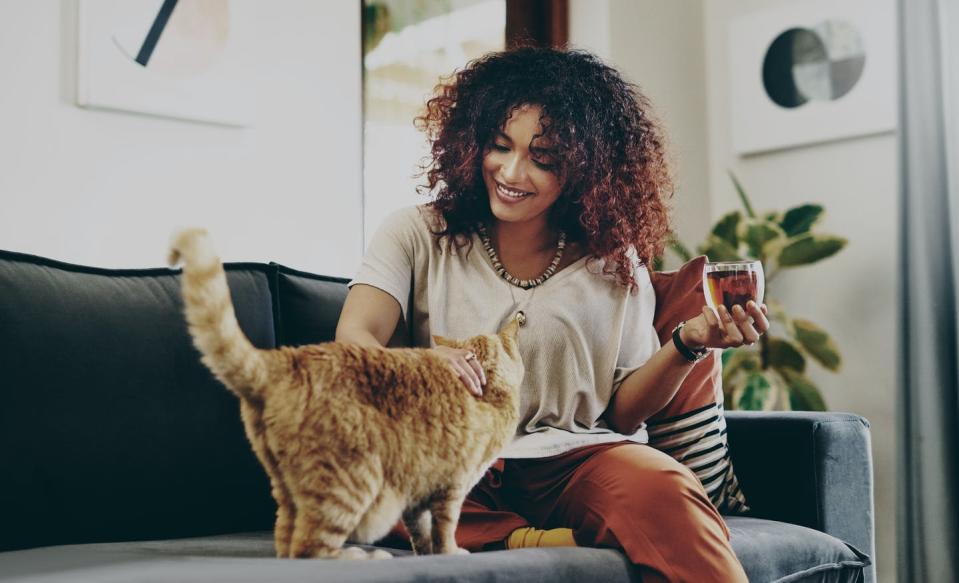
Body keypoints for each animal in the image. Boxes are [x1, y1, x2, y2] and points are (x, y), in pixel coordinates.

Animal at [166, 229, 524, 560]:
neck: (487, 392)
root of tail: (285, 359)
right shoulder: (451, 486)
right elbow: (445, 528)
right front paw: (449, 554)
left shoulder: (417, 490)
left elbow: (421, 532)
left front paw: (427, 553)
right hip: (352, 482)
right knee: (310, 550)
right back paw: (362, 556)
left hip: (288, 490)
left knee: (286, 544)